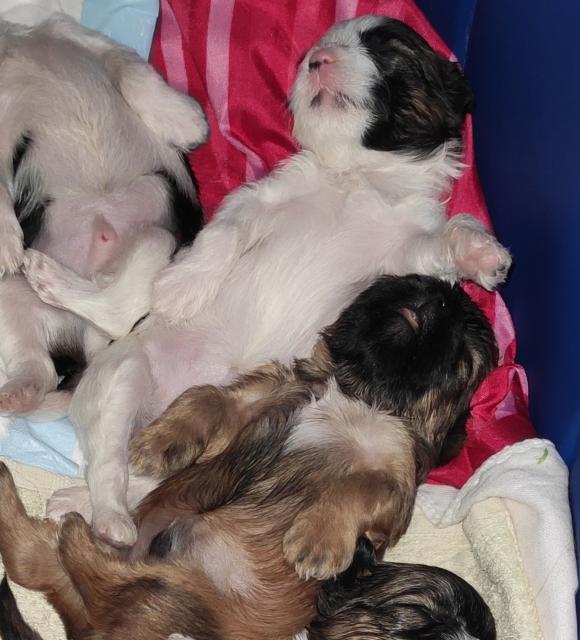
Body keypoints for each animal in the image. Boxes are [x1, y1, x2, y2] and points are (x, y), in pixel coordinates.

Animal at [0, 14, 207, 417]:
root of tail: (89, 340)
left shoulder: (84, 40)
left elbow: (131, 69)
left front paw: (184, 120)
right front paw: (4, 242)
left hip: (162, 239)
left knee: (117, 309)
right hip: (9, 297)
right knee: (39, 364)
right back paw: (18, 390)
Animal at [0, 274, 497, 639]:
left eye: (464, 350)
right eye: (398, 283)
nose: (437, 298)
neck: (359, 396)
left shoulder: (395, 483)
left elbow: (361, 485)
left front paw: (317, 540)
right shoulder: (258, 398)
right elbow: (206, 396)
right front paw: (160, 442)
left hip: (168, 600)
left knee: (70, 570)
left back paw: (74, 530)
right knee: (33, 559)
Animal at [41, 14, 511, 547]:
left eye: (387, 49)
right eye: (310, 53)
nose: (317, 60)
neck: (357, 177)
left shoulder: (406, 252)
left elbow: (443, 241)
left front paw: (483, 254)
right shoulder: (256, 201)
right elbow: (222, 236)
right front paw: (183, 286)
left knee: (139, 477)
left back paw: (86, 506)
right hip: (124, 372)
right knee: (109, 460)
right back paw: (107, 516)